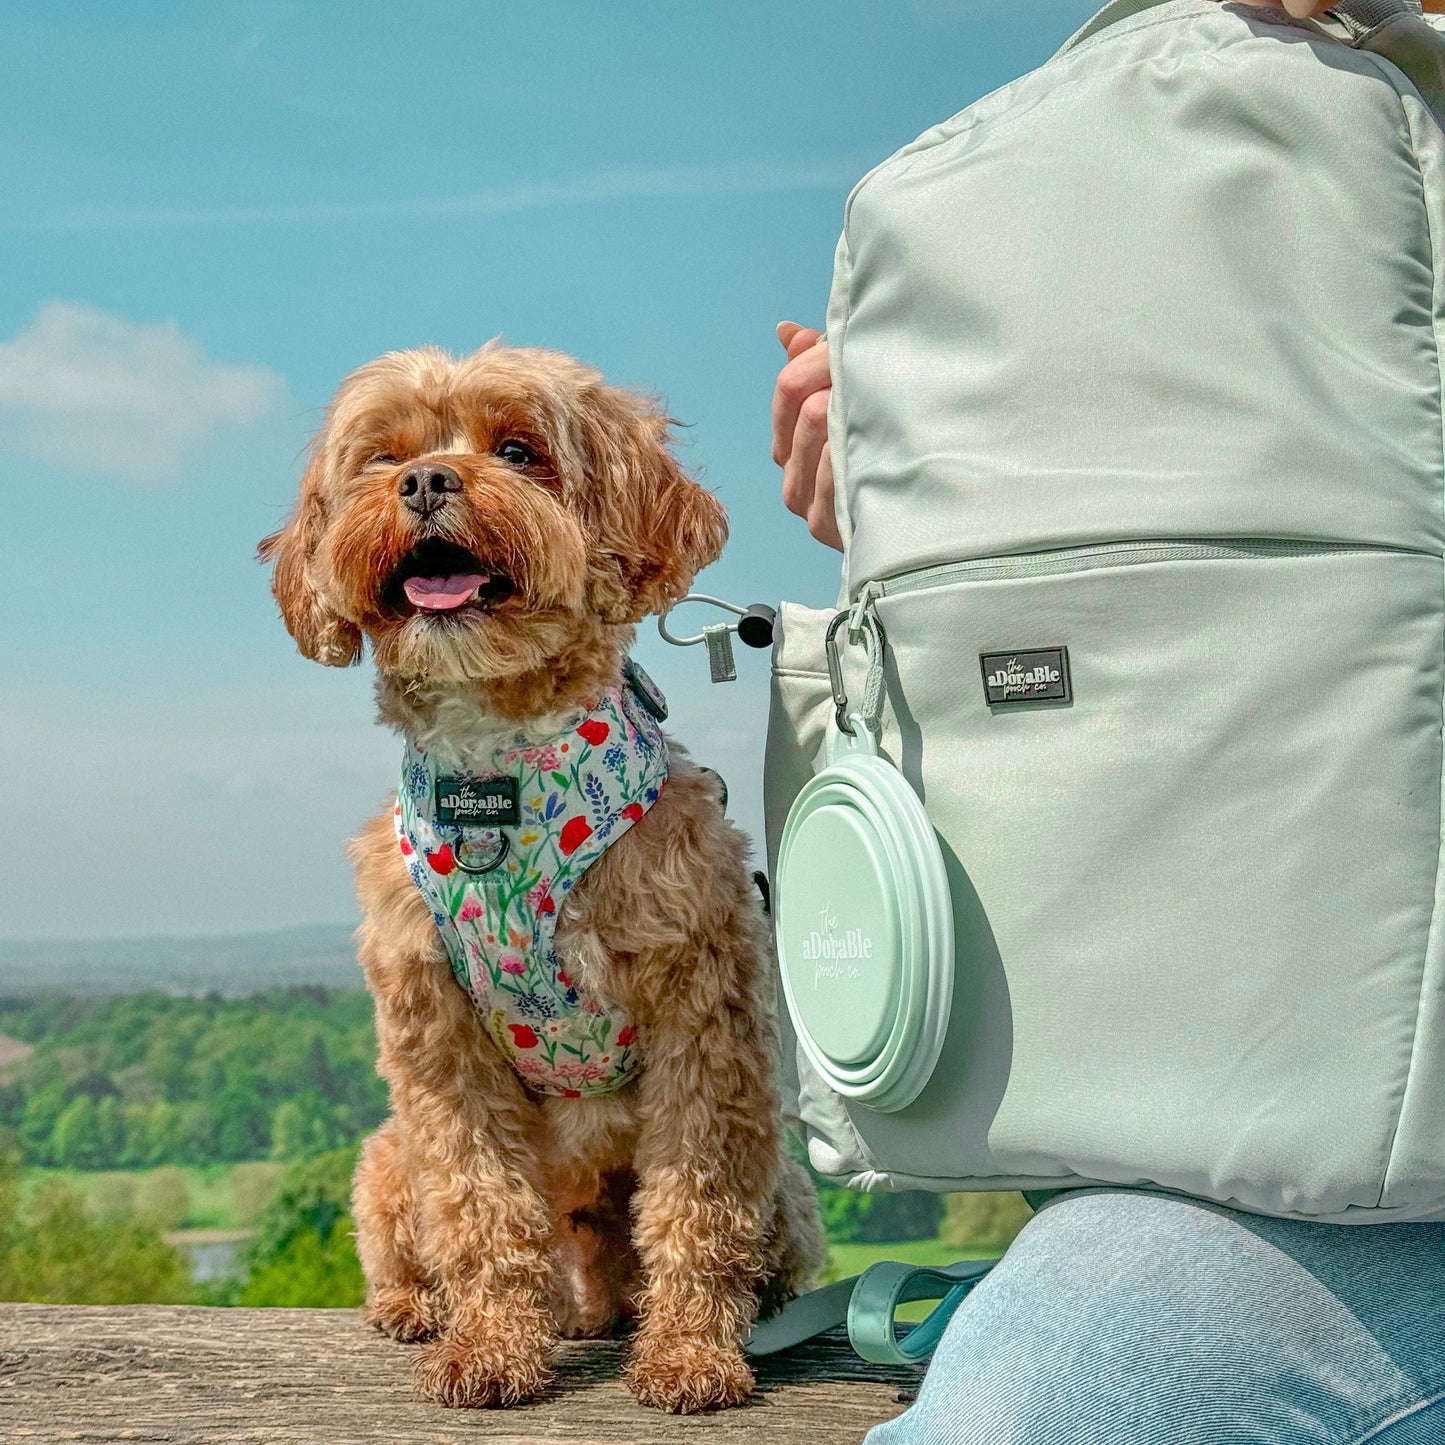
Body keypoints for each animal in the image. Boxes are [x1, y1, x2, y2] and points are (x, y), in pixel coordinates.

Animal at [258, 346, 820, 1410]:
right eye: (382, 455)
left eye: (518, 450)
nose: (425, 482)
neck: (501, 769)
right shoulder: (435, 1032)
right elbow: (477, 1203)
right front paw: (487, 1344)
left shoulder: (701, 1010)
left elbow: (695, 1199)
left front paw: (691, 1351)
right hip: (386, 1156)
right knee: (414, 1237)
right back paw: (422, 1305)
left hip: (787, 1186)